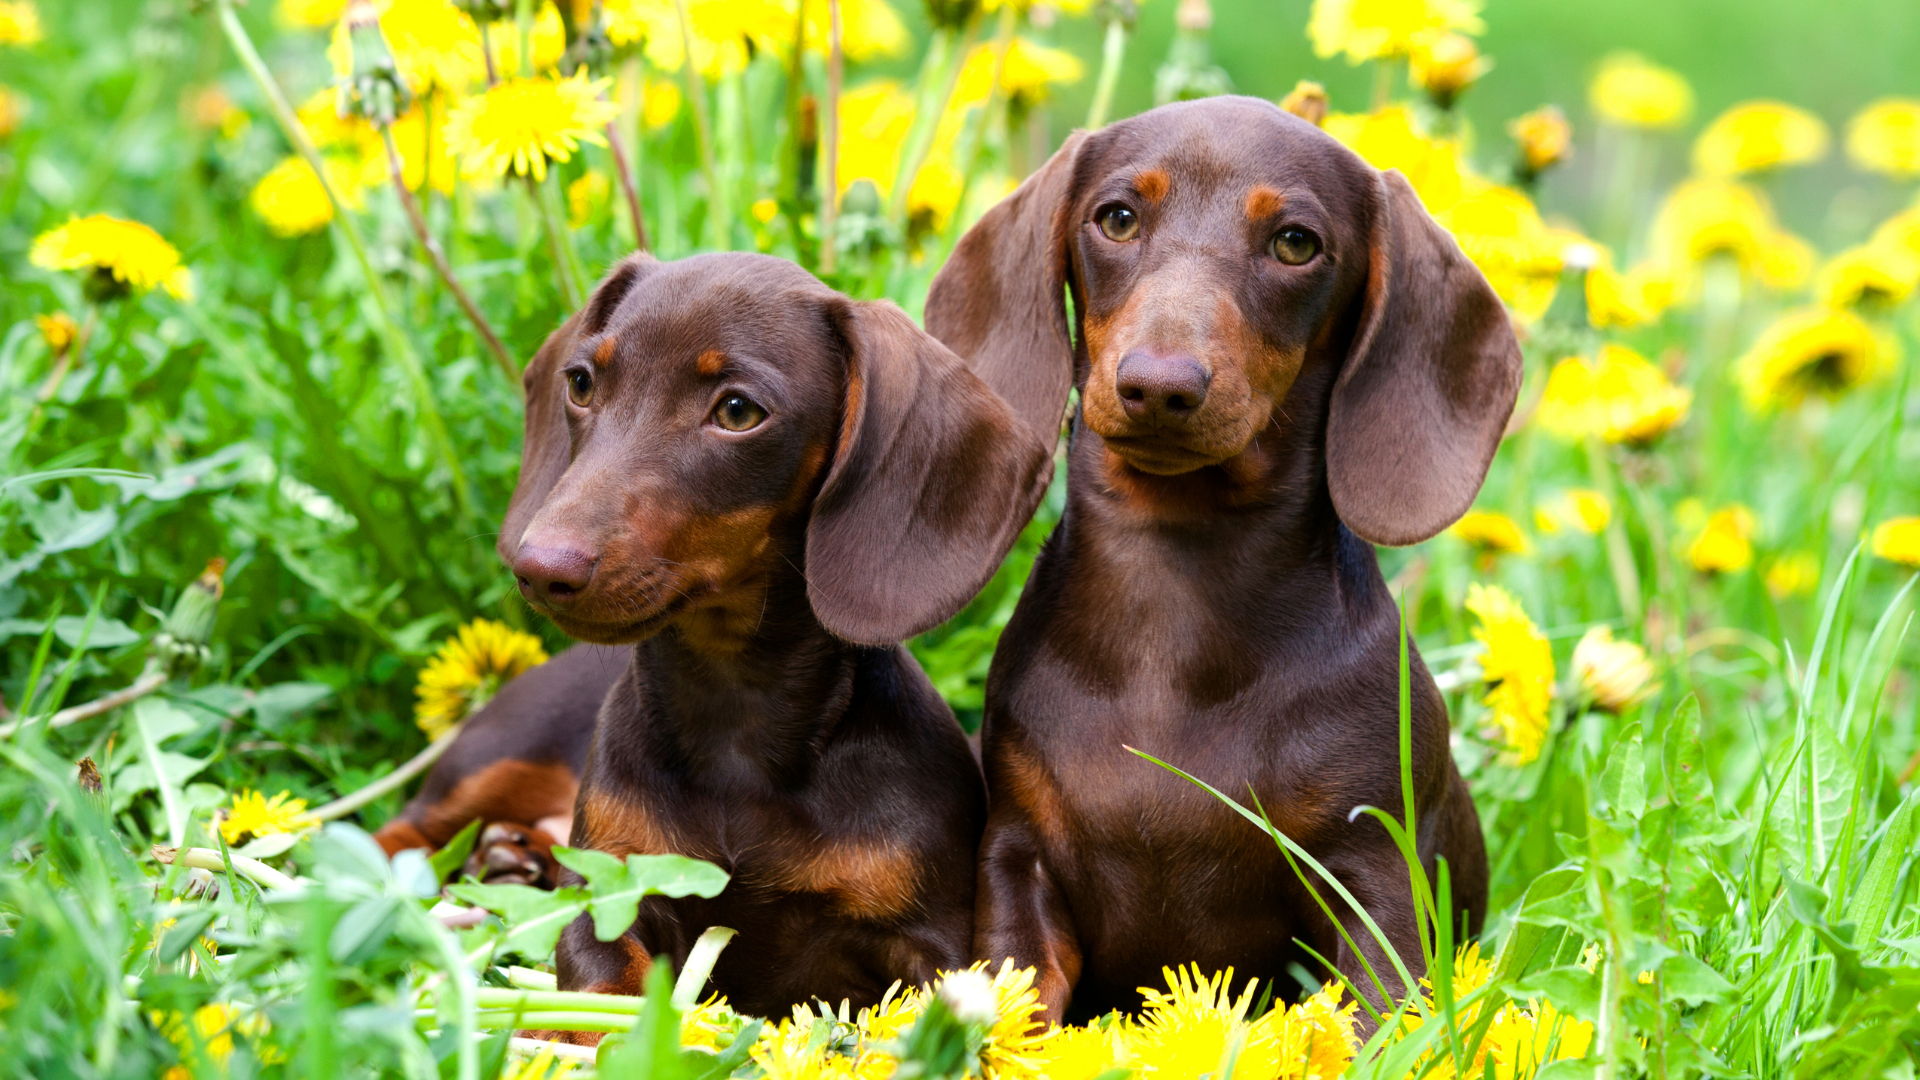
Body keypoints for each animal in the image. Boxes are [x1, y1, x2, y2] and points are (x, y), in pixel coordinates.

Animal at [487, 249, 1052, 1014]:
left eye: (737, 412)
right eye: (581, 383)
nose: (541, 568)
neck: (736, 722)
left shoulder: (928, 938)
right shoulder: (607, 894)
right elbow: (601, 986)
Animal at [925, 96, 1512, 1022]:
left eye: (1296, 242)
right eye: (1117, 218)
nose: (1160, 385)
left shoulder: (1374, 873)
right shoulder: (1019, 857)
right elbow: (1025, 1004)